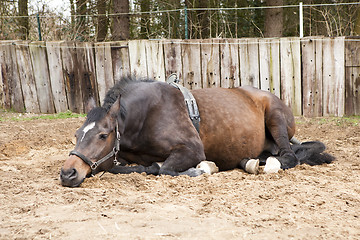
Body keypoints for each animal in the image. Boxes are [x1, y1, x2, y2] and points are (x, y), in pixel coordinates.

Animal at [59, 76, 334, 187]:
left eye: (103, 135)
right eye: (77, 134)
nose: (67, 173)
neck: (145, 117)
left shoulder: (191, 149)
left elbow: (165, 169)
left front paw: (202, 169)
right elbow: (122, 167)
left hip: (275, 118)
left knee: (289, 157)